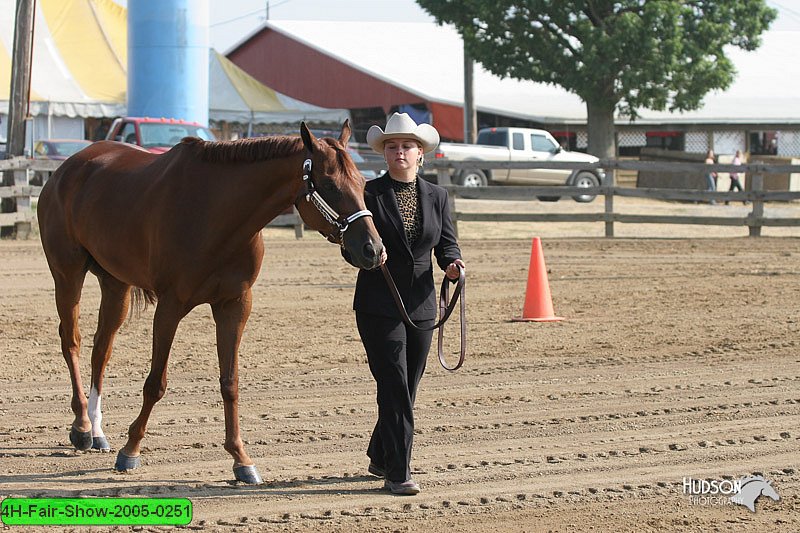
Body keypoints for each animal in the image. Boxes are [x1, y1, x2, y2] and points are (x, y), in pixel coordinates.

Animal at [38, 120, 384, 482]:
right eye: (330, 185)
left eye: (362, 183)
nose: (373, 249)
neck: (217, 213)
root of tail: (67, 168)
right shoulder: (170, 306)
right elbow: (155, 383)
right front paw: (130, 450)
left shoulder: (235, 306)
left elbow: (230, 383)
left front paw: (241, 459)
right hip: (67, 274)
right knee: (72, 341)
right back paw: (81, 427)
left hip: (115, 284)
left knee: (101, 350)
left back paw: (97, 431)